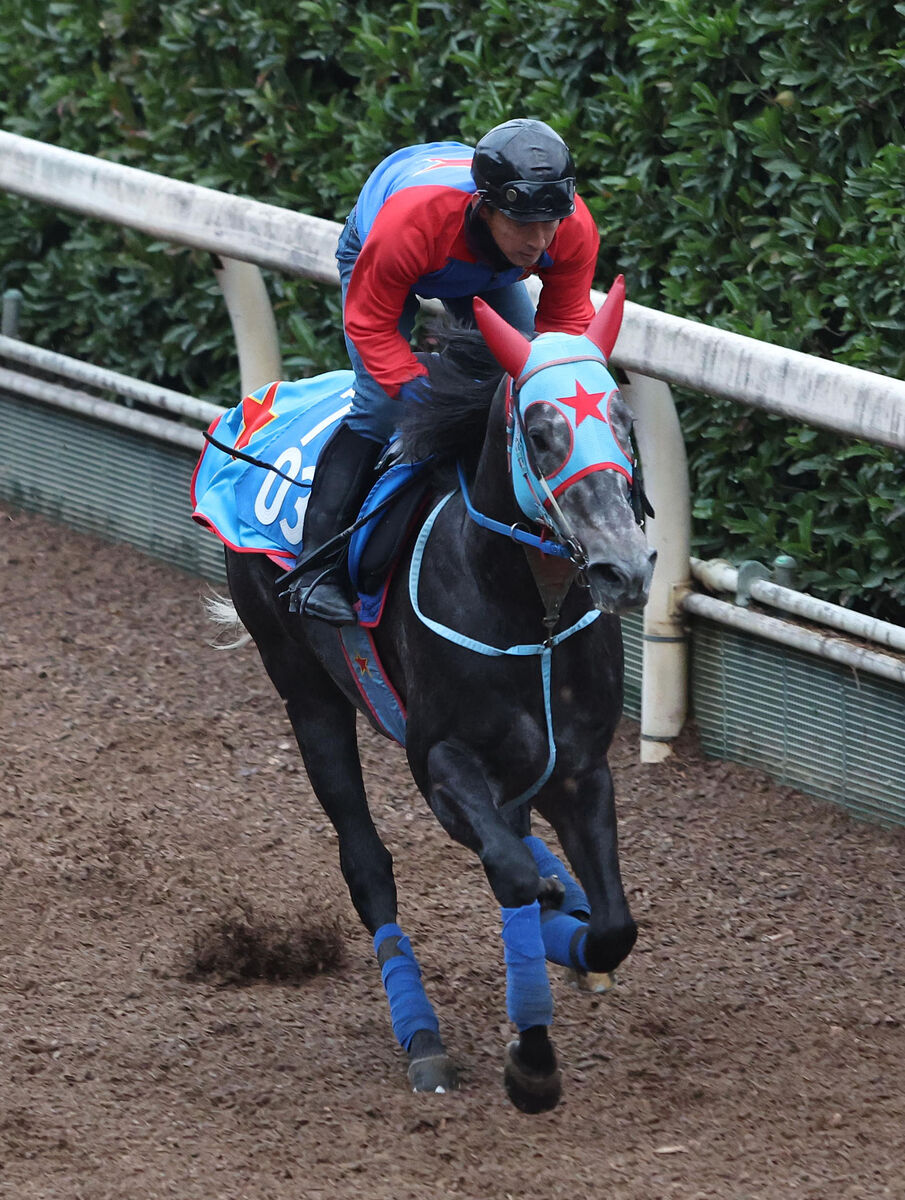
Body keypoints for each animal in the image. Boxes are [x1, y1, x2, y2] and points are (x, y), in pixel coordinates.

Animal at [202, 276, 657, 1108]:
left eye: (622, 420)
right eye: (538, 432)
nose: (623, 567)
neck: (530, 615)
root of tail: (252, 408)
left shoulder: (580, 768)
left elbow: (610, 924)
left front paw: (573, 936)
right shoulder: (441, 762)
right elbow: (507, 873)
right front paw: (531, 1061)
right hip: (306, 695)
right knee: (367, 865)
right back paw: (423, 1037)